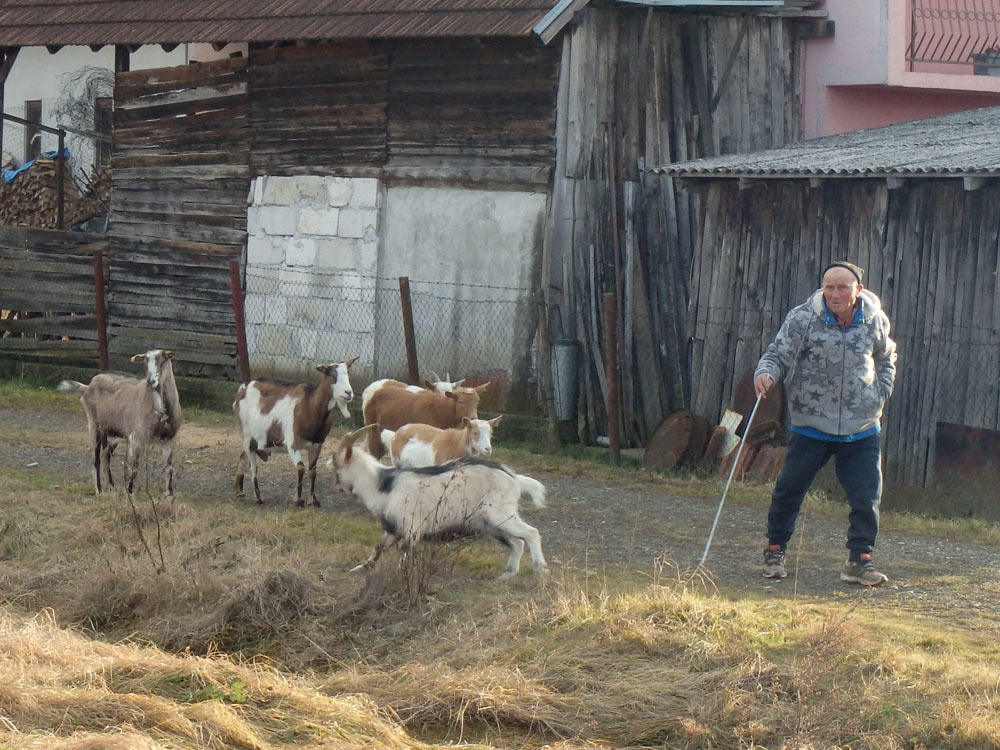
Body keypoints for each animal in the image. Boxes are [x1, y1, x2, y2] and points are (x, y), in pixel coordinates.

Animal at [58, 352, 182, 500]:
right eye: (144, 363)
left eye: (162, 362)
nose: (151, 382)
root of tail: (88, 386)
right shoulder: (136, 438)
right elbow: (133, 468)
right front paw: (130, 494)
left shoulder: (169, 440)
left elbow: (168, 468)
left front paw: (170, 495)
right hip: (94, 425)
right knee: (96, 458)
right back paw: (99, 490)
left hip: (112, 433)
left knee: (105, 455)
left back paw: (111, 487)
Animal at [232, 360, 358, 512]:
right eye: (332, 375)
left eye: (348, 374)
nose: (348, 393)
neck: (309, 405)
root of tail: (242, 388)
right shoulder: (293, 444)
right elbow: (300, 468)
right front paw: (298, 500)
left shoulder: (317, 445)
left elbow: (313, 472)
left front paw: (313, 501)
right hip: (246, 435)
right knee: (253, 466)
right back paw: (258, 498)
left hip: (254, 440)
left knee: (242, 456)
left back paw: (239, 490)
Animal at [330, 426, 548, 580]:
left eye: (335, 463)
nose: (337, 486)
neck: (384, 485)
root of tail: (514, 479)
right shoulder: (392, 528)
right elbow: (378, 548)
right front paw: (360, 568)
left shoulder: (413, 528)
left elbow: (404, 552)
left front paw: (398, 576)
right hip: (489, 523)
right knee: (517, 543)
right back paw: (507, 574)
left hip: (497, 512)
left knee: (531, 533)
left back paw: (540, 569)